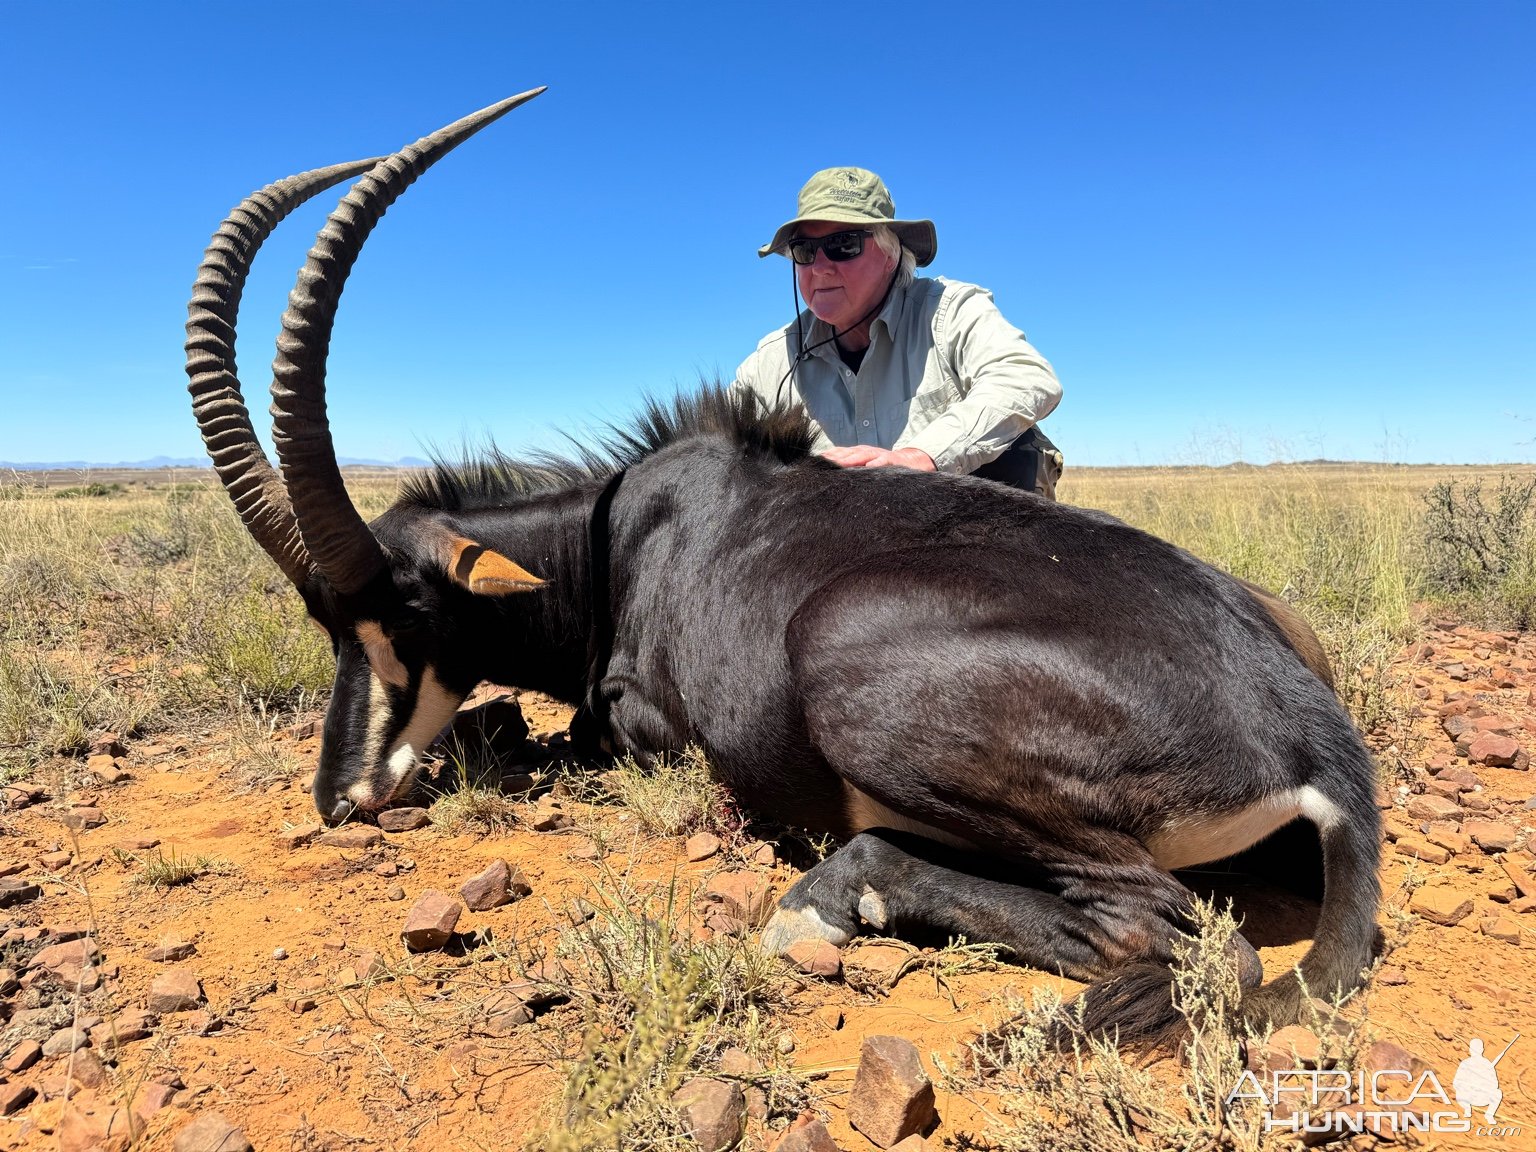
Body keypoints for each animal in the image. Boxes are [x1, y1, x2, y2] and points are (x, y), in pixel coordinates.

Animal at [179, 92, 1382, 1044]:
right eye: (325, 623)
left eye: (408, 611)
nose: (340, 798)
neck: (621, 542)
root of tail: (1306, 724)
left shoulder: (644, 721)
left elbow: (573, 735)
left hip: (849, 666)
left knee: (1188, 940)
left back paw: (838, 900)